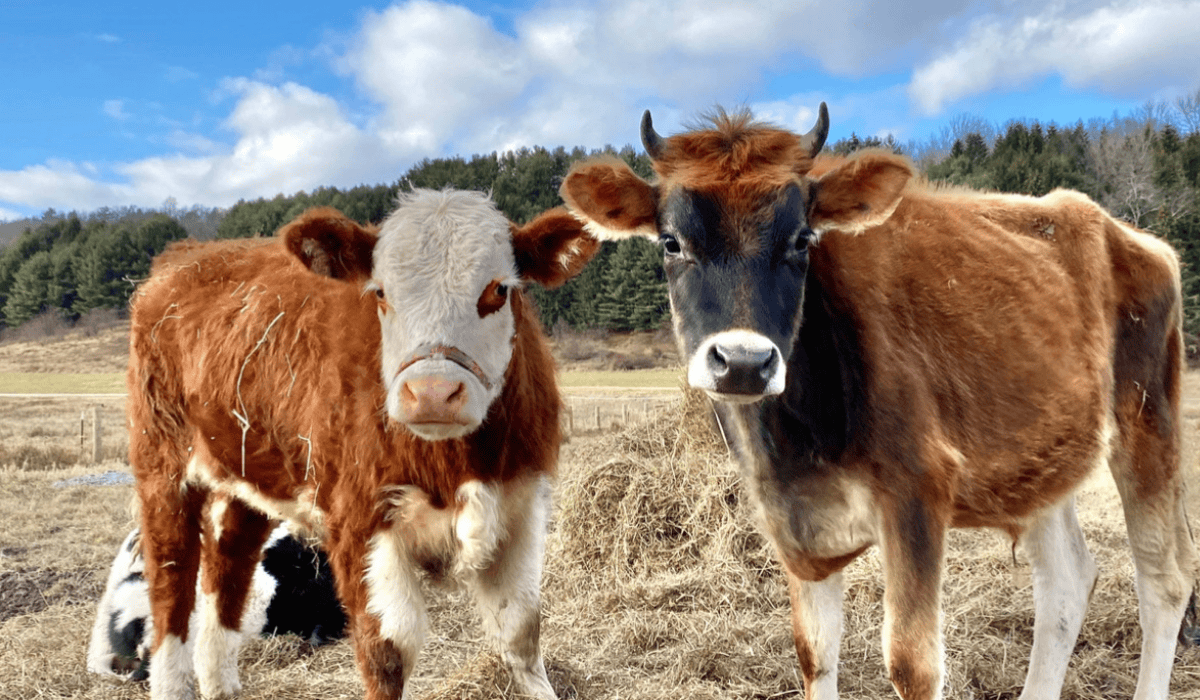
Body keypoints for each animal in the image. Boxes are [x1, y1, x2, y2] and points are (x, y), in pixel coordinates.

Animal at [127, 190, 599, 700]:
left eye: (498, 290)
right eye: (381, 294)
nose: (432, 392)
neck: (455, 465)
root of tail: (186, 256)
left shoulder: (519, 509)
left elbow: (521, 632)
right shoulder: (361, 523)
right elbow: (387, 651)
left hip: (244, 477)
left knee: (227, 568)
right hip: (162, 469)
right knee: (171, 583)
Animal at [558, 105, 1199, 700]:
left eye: (802, 238)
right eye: (672, 241)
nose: (742, 361)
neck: (799, 441)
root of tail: (1132, 235)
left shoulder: (917, 491)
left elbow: (913, 665)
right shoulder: (791, 517)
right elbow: (815, 653)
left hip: (1149, 422)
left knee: (1164, 579)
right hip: (1043, 454)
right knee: (1066, 581)